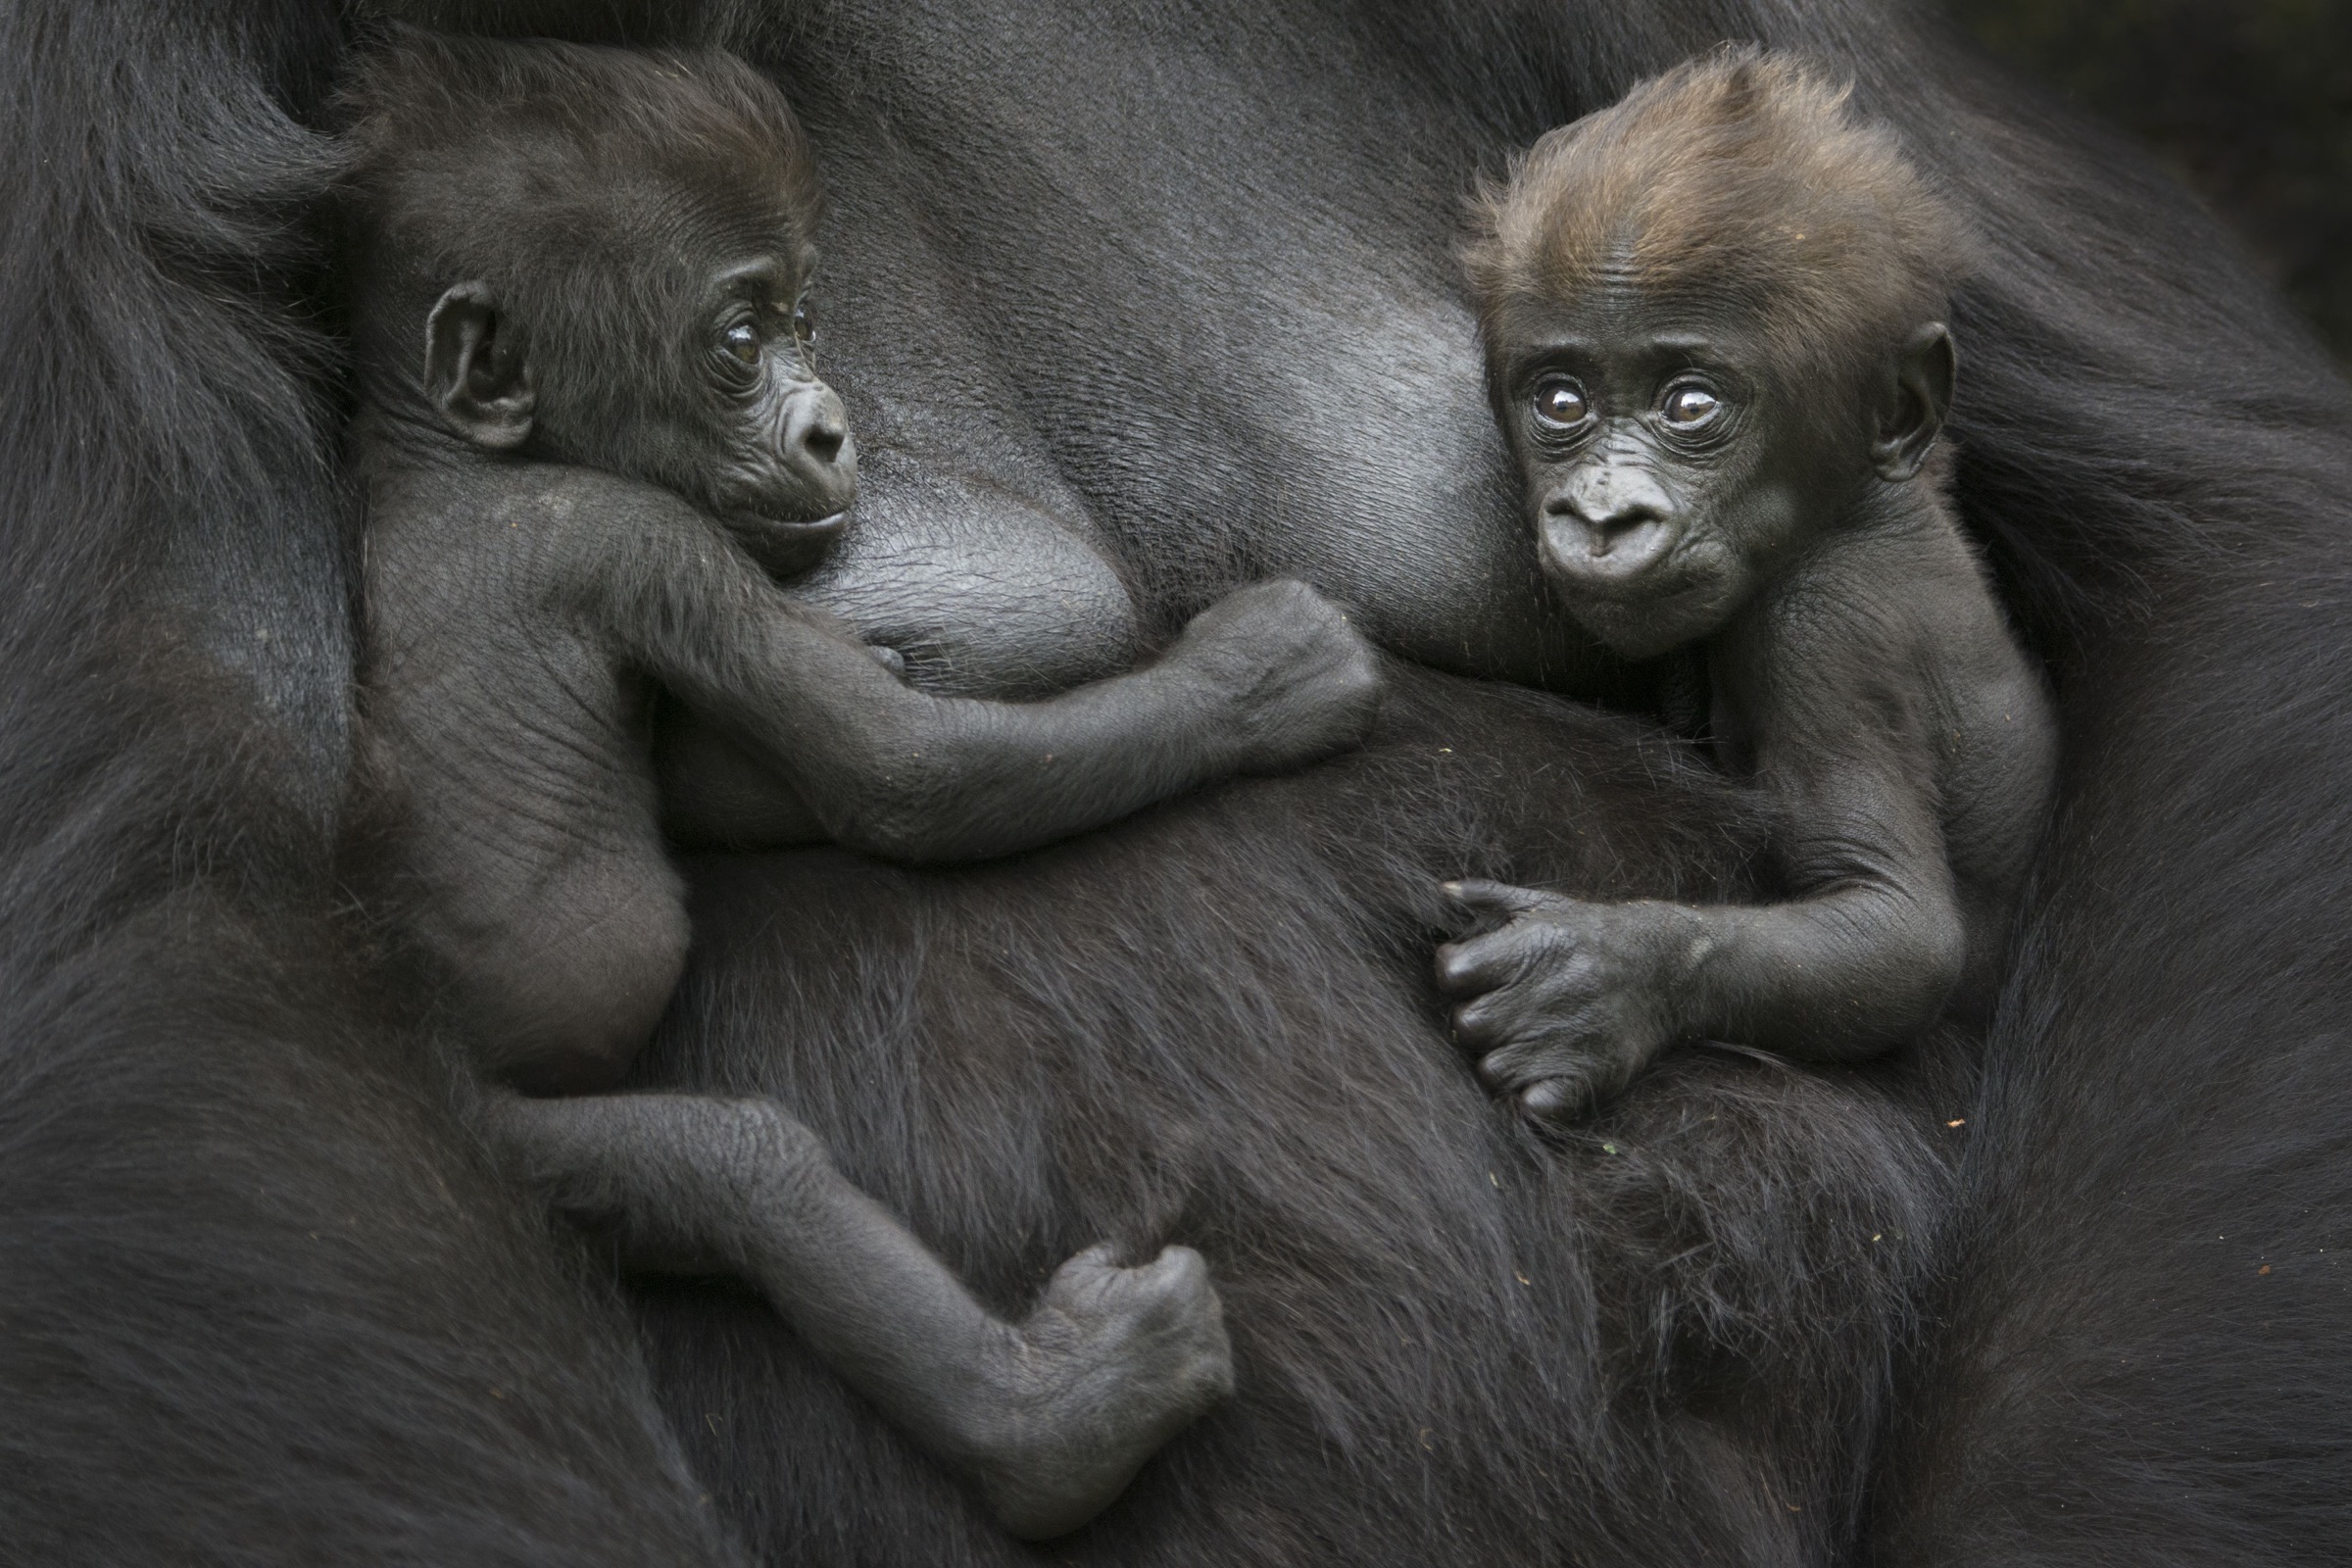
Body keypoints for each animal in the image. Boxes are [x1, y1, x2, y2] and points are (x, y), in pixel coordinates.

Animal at [335, 31, 1383, 1538]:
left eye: (809, 323)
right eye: (737, 344)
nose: (832, 429)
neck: (439, 453)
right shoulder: (642, 539)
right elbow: (901, 774)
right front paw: (1258, 680)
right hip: (485, 1133)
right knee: (737, 1173)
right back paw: (1056, 1415)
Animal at [1437, 49, 2058, 1123]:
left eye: (1691, 405)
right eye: (1560, 400)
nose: (1602, 516)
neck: (1859, 507)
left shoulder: (1821, 637)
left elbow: (1895, 928)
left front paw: (1612, 976)